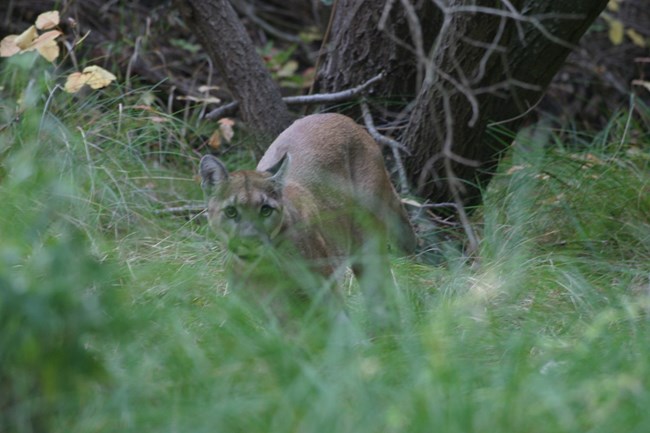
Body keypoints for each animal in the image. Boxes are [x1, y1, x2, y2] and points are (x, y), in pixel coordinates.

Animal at [199, 111, 416, 300]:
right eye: (231, 212)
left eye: (265, 210)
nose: (250, 241)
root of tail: (345, 120)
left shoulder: (325, 294)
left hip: (367, 245)